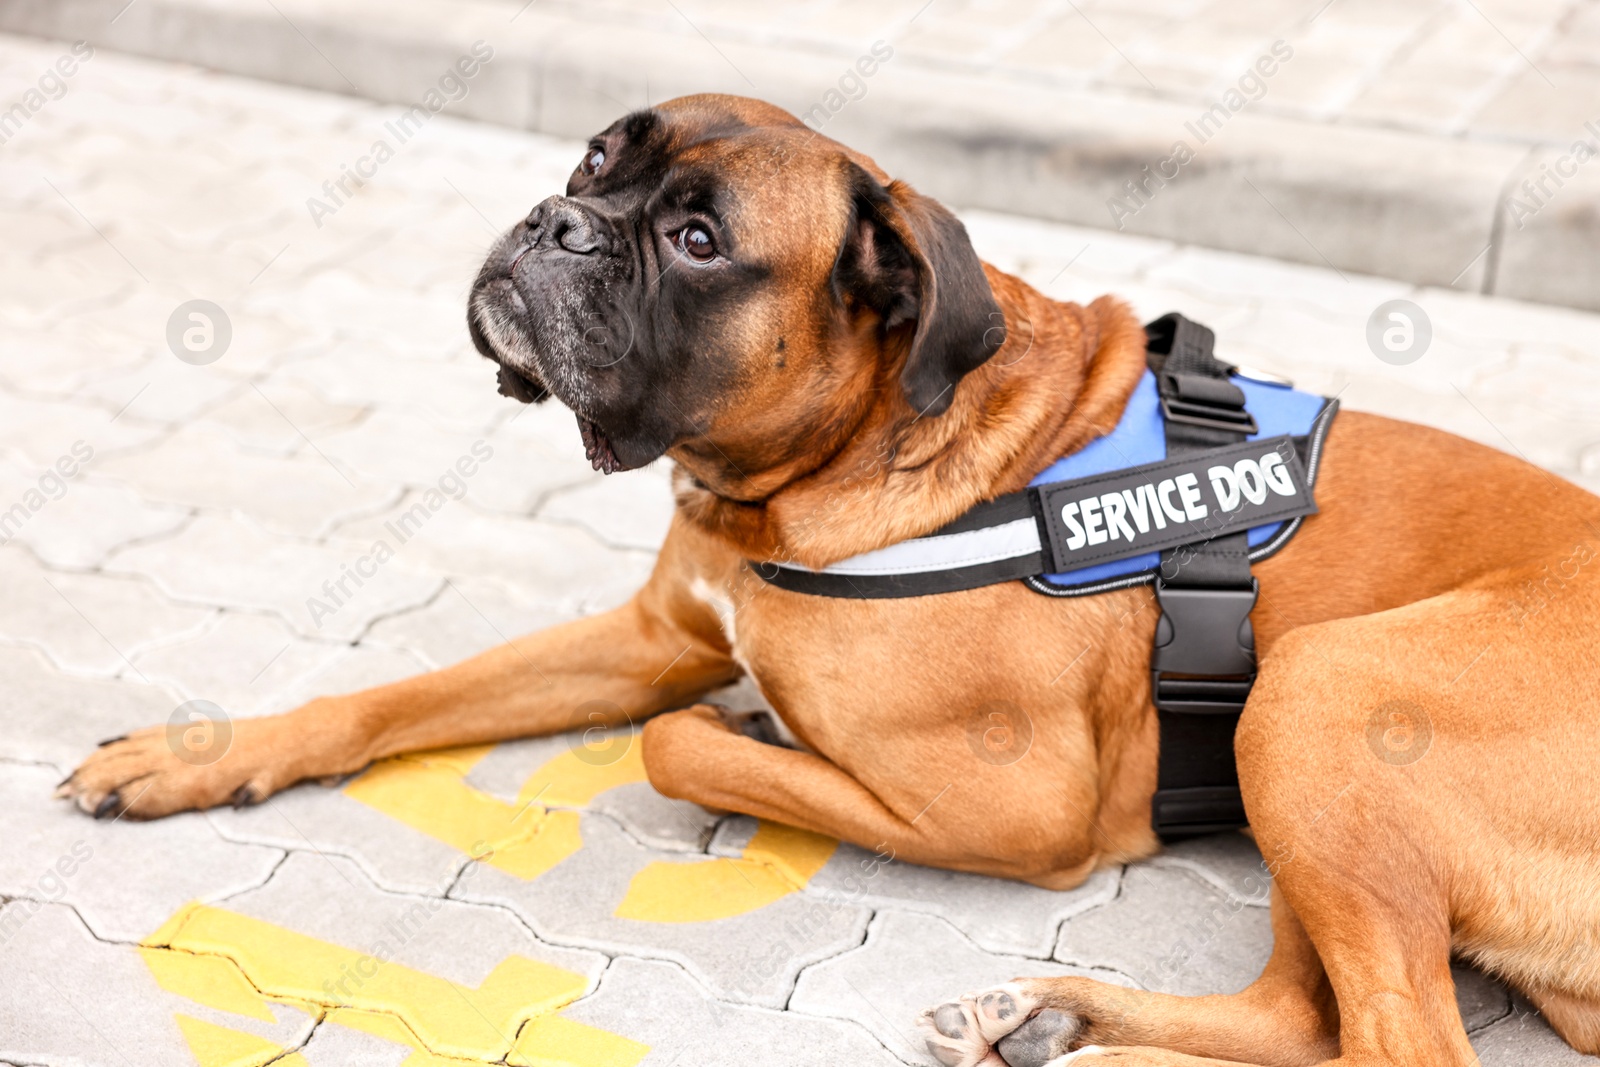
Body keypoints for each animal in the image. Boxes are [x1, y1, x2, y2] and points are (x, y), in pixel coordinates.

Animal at [62, 95, 1600, 1062]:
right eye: (594, 157)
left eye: (697, 240)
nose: (555, 217)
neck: (818, 467)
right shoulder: (651, 630)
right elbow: (408, 691)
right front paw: (202, 751)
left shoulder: (1019, 807)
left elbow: (678, 742)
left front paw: (751, 729)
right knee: (1309, 1015)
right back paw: (1055, 1017)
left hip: (1320, 691)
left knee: (1396, 1042)